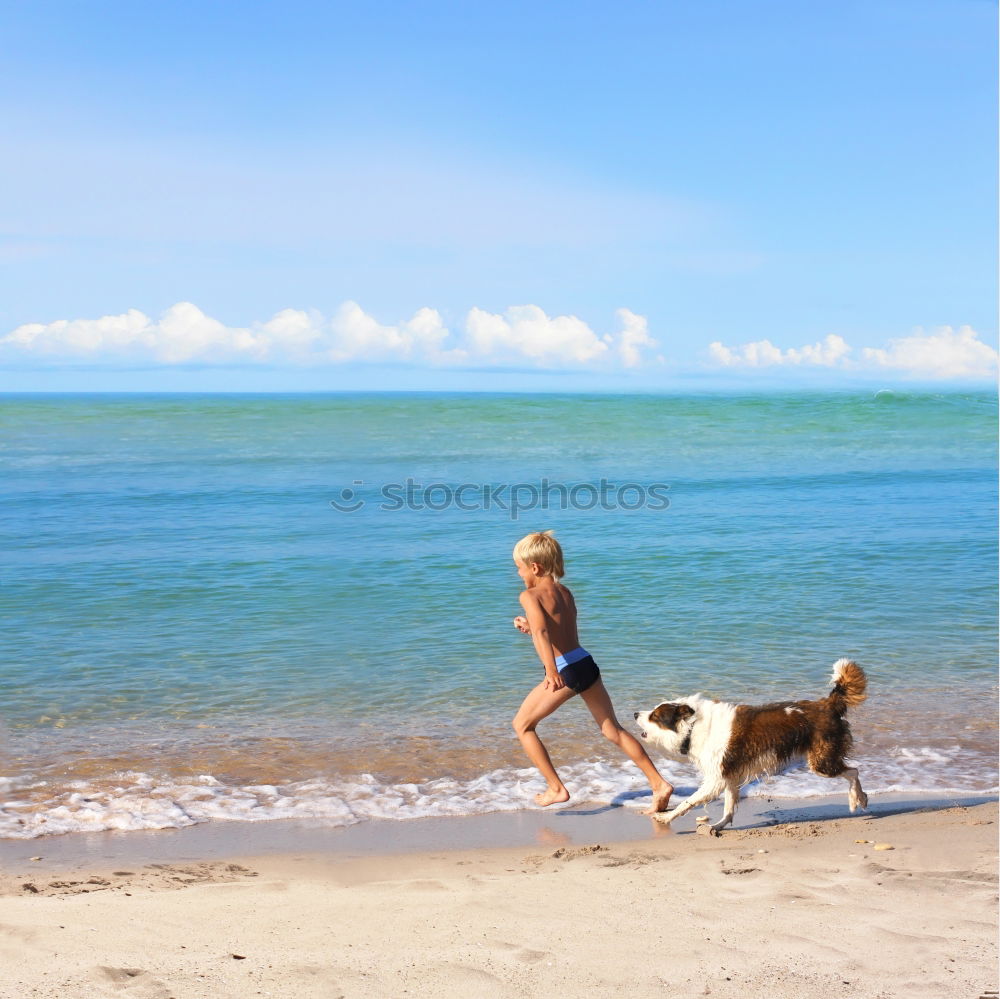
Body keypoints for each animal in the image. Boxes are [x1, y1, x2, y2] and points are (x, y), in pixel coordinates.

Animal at [636, 660, 872, 832]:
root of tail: (826, 704)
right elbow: (728, 806)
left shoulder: (716, 779)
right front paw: (718, 826)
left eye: (655, 716)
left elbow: (688, 801)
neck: (694, 727)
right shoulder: (729, 775)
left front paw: (666, 817)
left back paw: (858, 799)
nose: (636, 713)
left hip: (821, 762)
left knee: (853, 771)